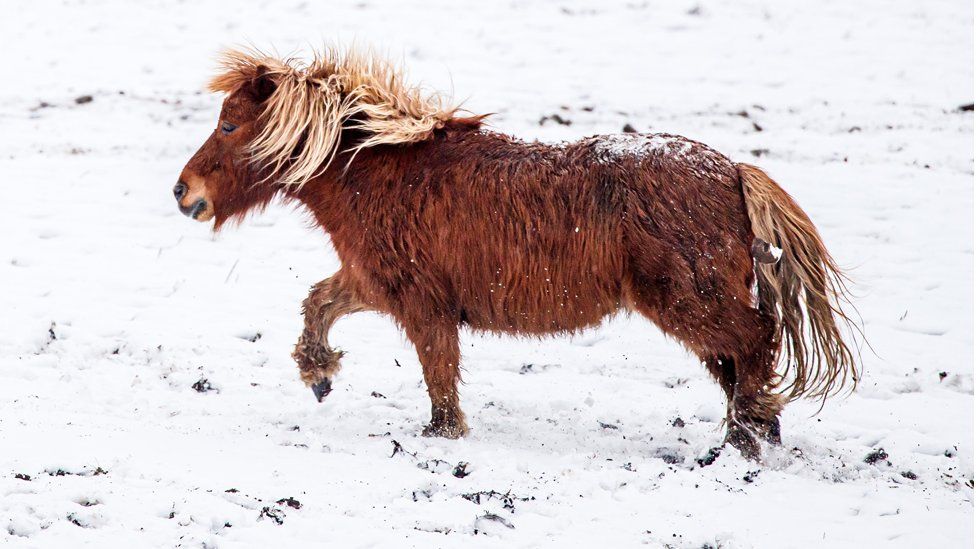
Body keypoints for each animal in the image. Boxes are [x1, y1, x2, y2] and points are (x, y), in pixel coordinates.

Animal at [173, 47, 856, 458]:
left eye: (229, 125)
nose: (184, 192)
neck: (381, 171)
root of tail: (733, 172)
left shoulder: (422, 306)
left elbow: (438, 376)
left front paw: (439, 437)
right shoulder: (376, 283)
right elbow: (319, 302)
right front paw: (318, 374)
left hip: (689, 303)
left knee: (755, 341)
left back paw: (748, 431)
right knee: (739, 357)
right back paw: (755, 429)